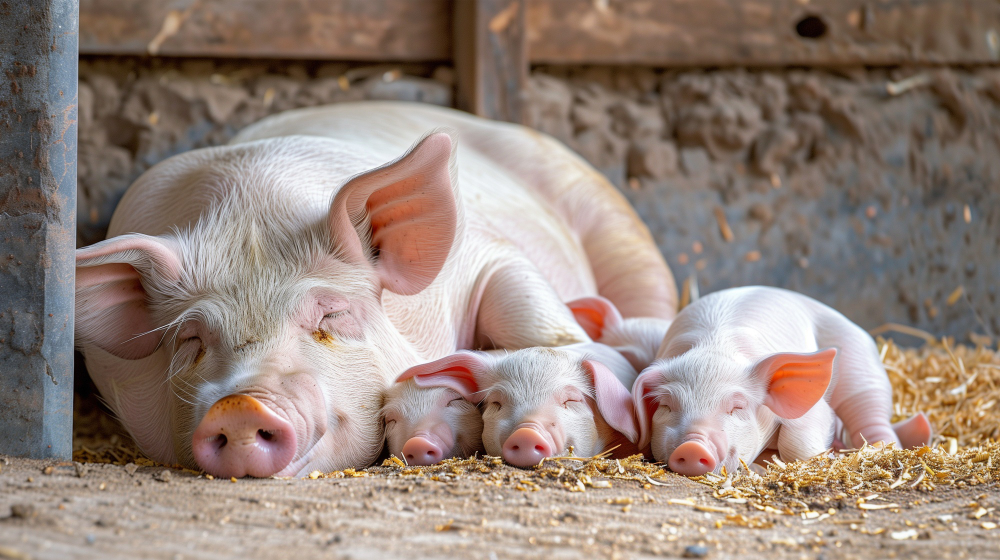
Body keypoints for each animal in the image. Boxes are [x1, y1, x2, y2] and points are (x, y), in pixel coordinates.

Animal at [74, 101, 676, 476]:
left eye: (332, 317)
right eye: (193, 340)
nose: (241, 406)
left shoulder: (488, 254)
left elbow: (533, 317)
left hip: (617, 224)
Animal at [632, 286, 920, 474]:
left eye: (737, 407)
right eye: (667, 406)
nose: (693, 447)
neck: (713, 348)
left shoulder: (814, 410)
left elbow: (797, 441)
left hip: (863, 368)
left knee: (871, 416)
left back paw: (885, 447)